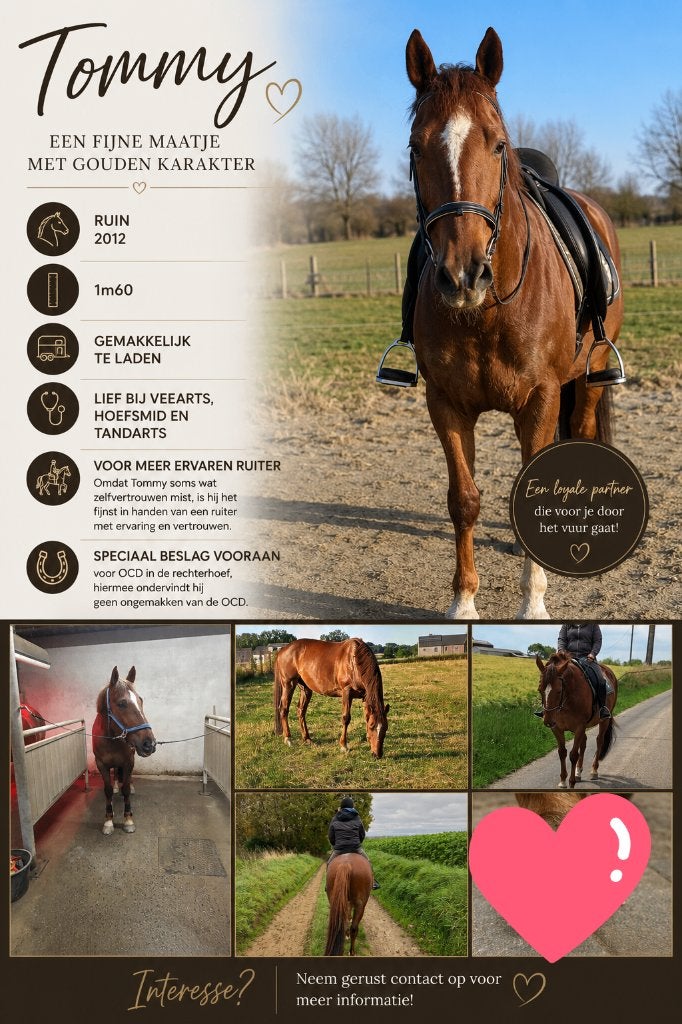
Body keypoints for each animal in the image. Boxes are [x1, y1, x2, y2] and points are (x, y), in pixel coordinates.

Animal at [92, 666, 156, 835]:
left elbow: (126, 789)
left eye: (141, 700)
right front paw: (108, 820)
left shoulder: (128, 762)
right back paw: (115, 787)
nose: (150, 744)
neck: (111, 739)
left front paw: (128, 820)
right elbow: (107, 790)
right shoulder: (101, 764)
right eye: (122, 703)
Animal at [405, 28, 623, 619]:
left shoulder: (542, 398)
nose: (462, 275)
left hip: (591, 375)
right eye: (415, 148)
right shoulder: (446, 404)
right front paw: (463, 604)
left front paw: (534, 605)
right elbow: (464, 500)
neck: (487, 311)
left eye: (498, 145)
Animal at [535, 652, 617, 788]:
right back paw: (579, 772)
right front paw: (563, 781)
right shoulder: (557, 728)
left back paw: (594, 771)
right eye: (540, 689)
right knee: (583, 743)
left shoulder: (579, 726)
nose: (547, 720)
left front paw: (571, 782)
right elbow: (562, 752)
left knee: (599, 741)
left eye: (559, 690)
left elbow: (573, 755)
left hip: (604, 721)